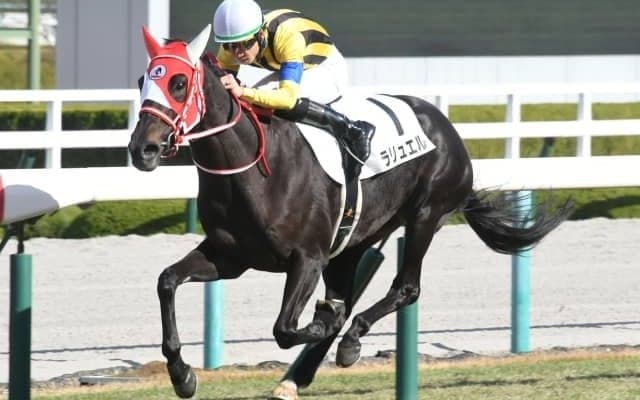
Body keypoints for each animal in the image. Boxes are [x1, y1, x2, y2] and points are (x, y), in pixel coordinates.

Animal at [128, 24, 572, 399]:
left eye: (179, 83)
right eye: (142, 81)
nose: (141, 149)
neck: (251, 169)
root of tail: (447, 127)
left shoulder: (307, 258)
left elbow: (286, 328)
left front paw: (325, 324)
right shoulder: (230, 256)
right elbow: (167, 281)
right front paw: (182, 375)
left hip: (426, 215)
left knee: (405, 288)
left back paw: (349, 341)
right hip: (356, 239)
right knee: (357, 284)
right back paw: (300, 374)